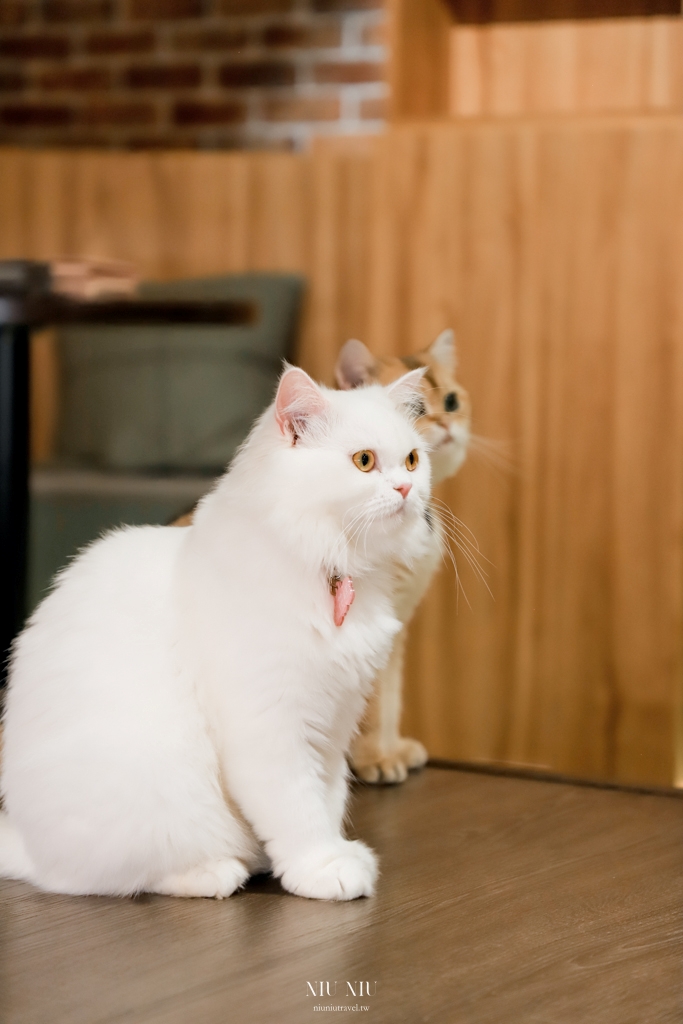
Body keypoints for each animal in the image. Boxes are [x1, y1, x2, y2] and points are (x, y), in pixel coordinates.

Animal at [0, 364, 432, 901]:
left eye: (413, 460)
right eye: (364, 461)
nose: (406, 490)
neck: (333, 568)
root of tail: (27, 844)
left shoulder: (334, 723)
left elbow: (327, 800)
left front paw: (328, 855)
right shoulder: (270, 725)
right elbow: (298, 809)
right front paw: (322, 868)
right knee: (116, 877)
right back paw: (220, 872)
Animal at [335, 327, 473, 782]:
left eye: (452, 401)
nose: (446, 422)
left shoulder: (397, 629)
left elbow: (390, 698)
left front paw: (390, 748)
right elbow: (372, 703)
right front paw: (375, 760)